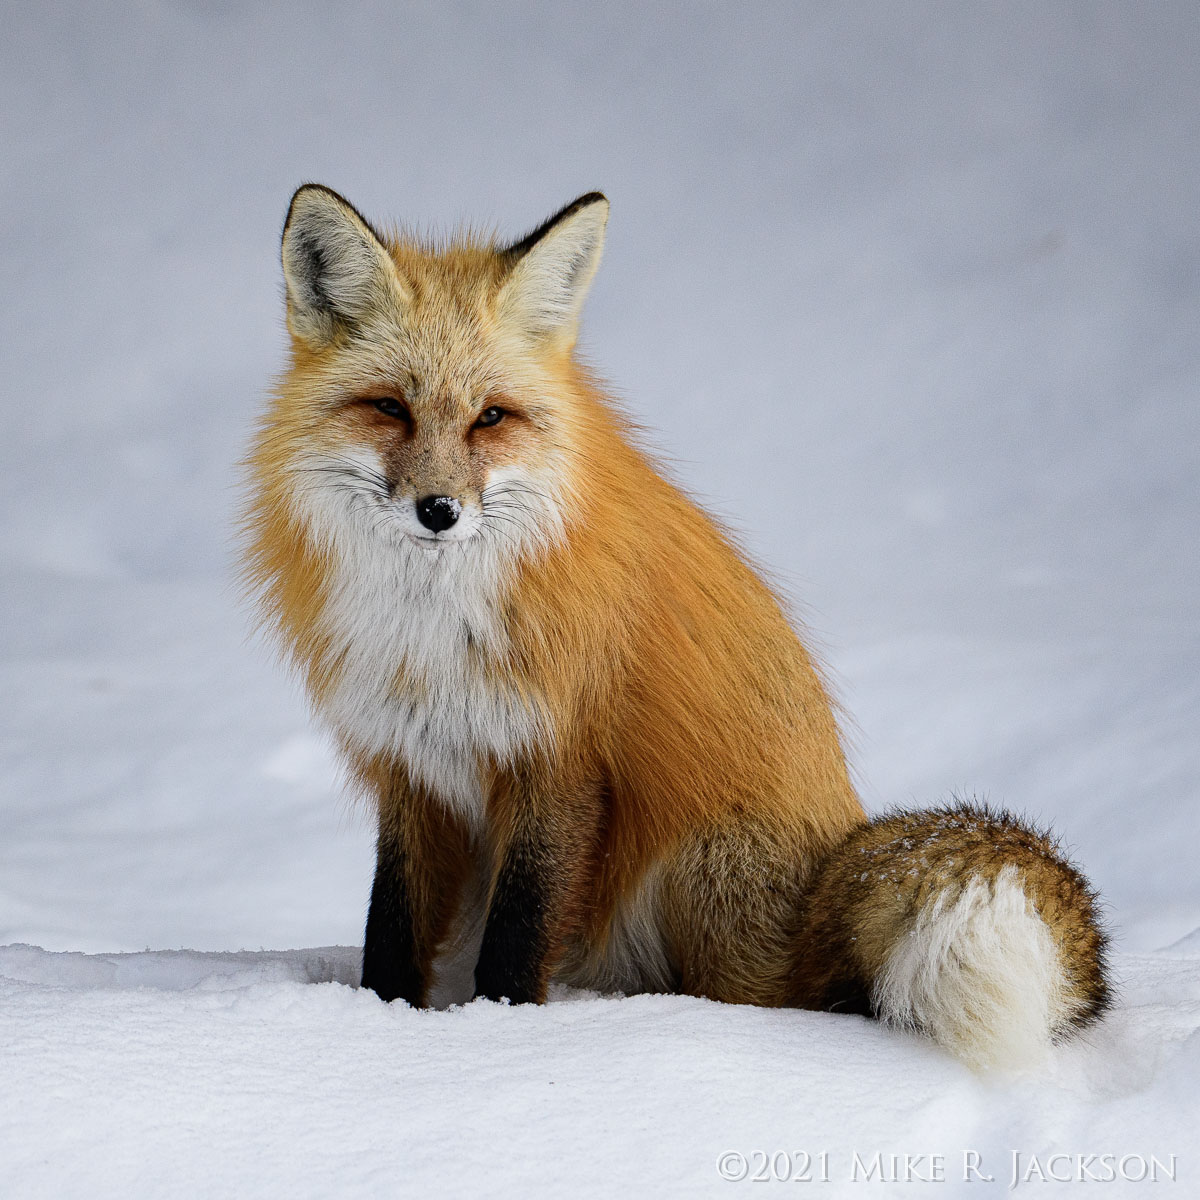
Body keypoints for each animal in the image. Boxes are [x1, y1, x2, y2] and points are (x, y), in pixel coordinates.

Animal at [242, 183, 1110, 1070]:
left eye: (491, 418)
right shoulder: (412, 765)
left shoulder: (561, 759)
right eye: (389, 408)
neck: (434, 632)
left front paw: (503, 1035)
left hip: (697, 871)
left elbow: (517, 935)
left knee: (789, 1000)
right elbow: (393, 926)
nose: (440, 511)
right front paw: (382, 1024)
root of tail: (824, 887)